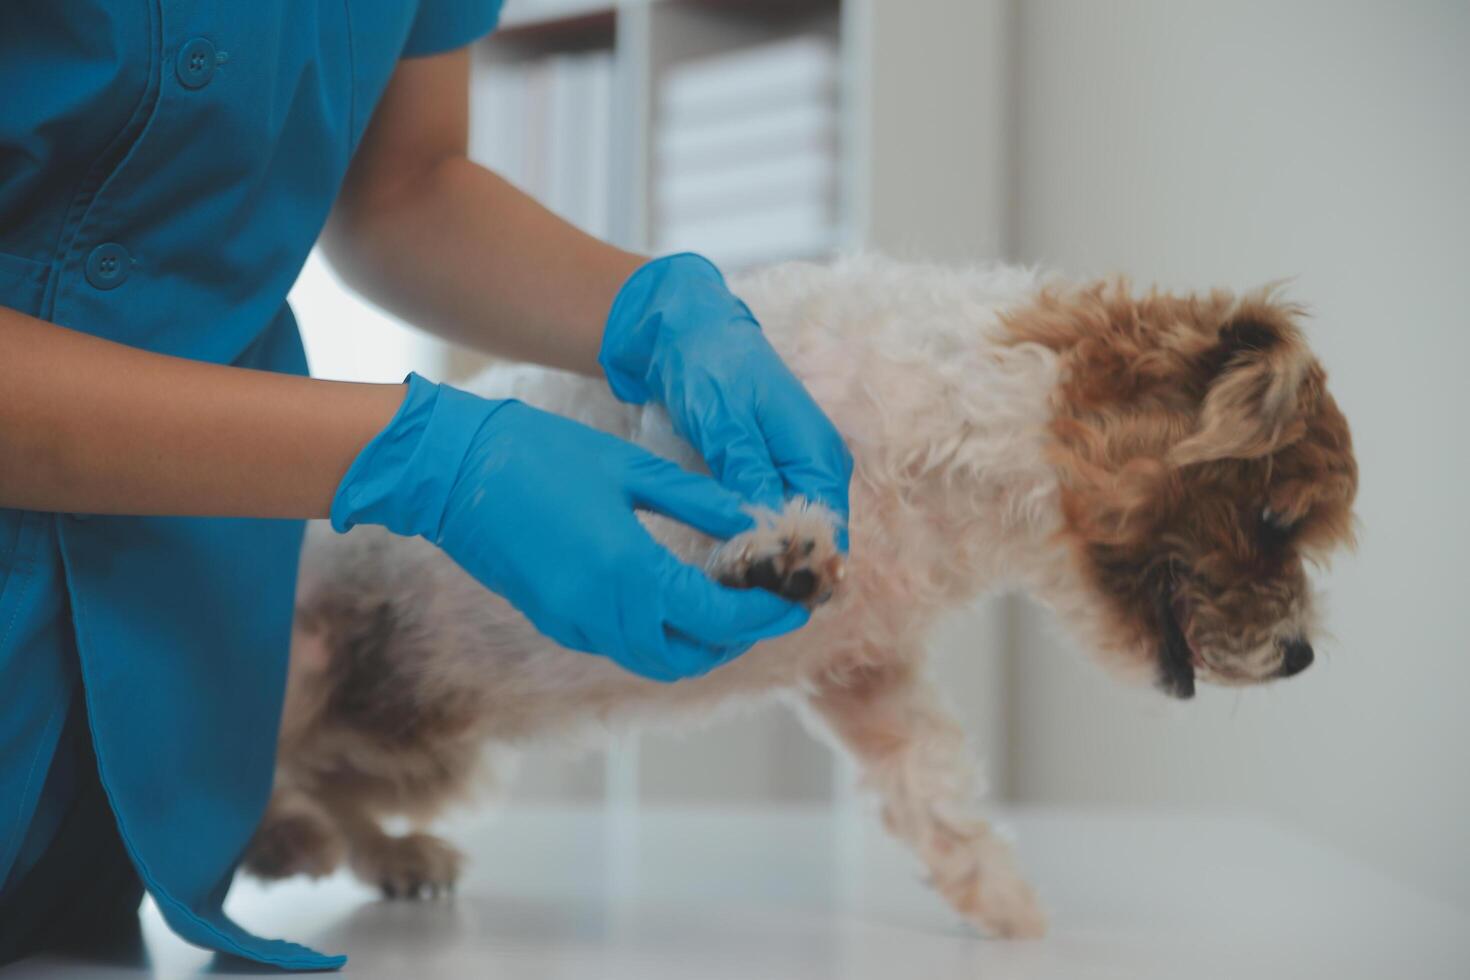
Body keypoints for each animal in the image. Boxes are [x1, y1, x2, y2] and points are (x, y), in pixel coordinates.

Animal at [246, 257, 1358, 940]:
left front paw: (998, 897)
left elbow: (931, 780)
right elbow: (690, 516)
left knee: (339, 786)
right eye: (1274, 518)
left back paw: (389, 851)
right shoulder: (679, 462)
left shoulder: (865, 669)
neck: (948, 461)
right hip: (306, 656)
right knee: (261, 763)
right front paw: (767, 548)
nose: (1302, 654)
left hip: (434, 746)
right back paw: (274, 836)